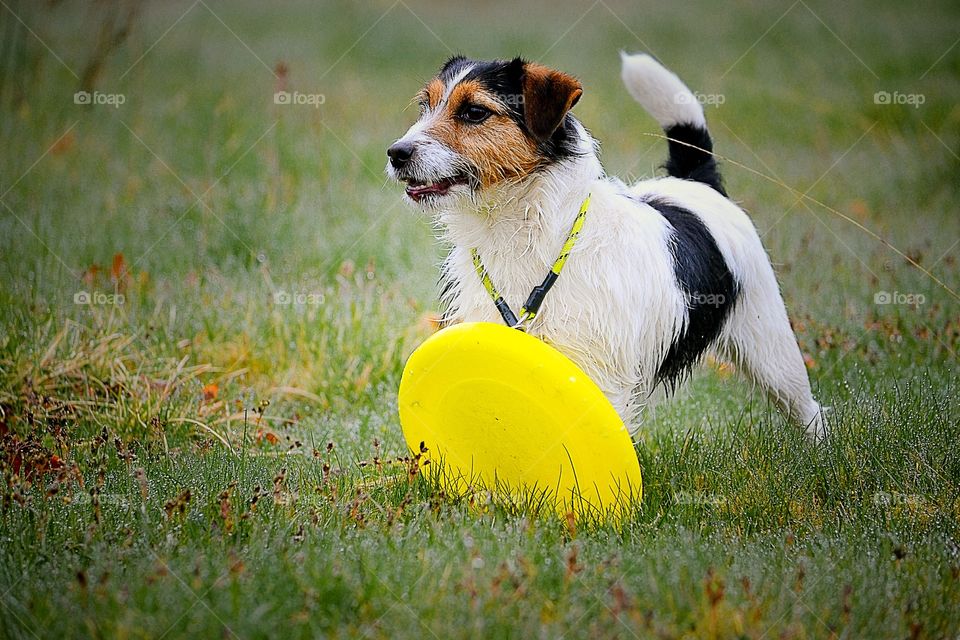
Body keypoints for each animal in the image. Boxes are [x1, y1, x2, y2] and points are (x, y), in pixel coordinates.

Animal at [386, 53, 828, 440]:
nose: (396, 153)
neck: (523, 232)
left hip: (769, 344)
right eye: (425, 105)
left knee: (808, 409)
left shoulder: (601, 373)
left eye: (475, 112)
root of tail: (694, 181)